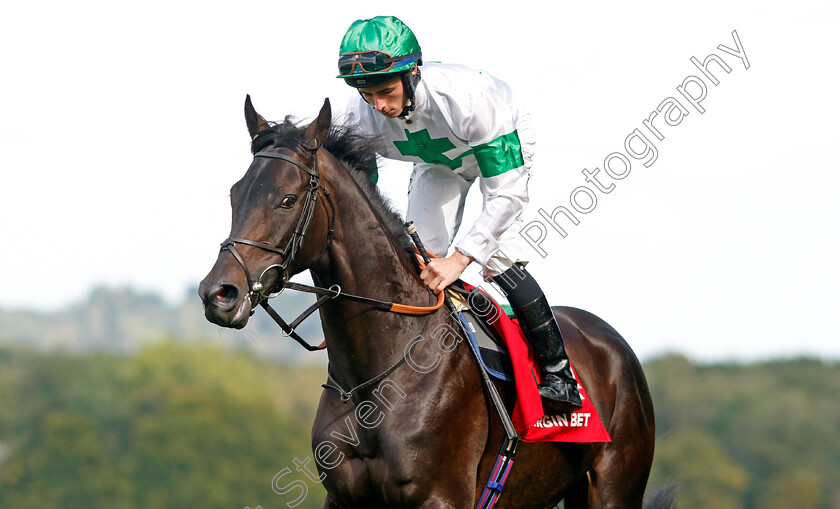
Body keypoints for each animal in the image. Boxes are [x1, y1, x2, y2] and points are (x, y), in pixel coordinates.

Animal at [199, 96, 664, 508]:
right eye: (235, 194)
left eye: (287, 200)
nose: (218, 293)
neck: (376, 375)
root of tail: (611, 340)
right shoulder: (344, 498)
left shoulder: (440, 497)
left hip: (614, 488)